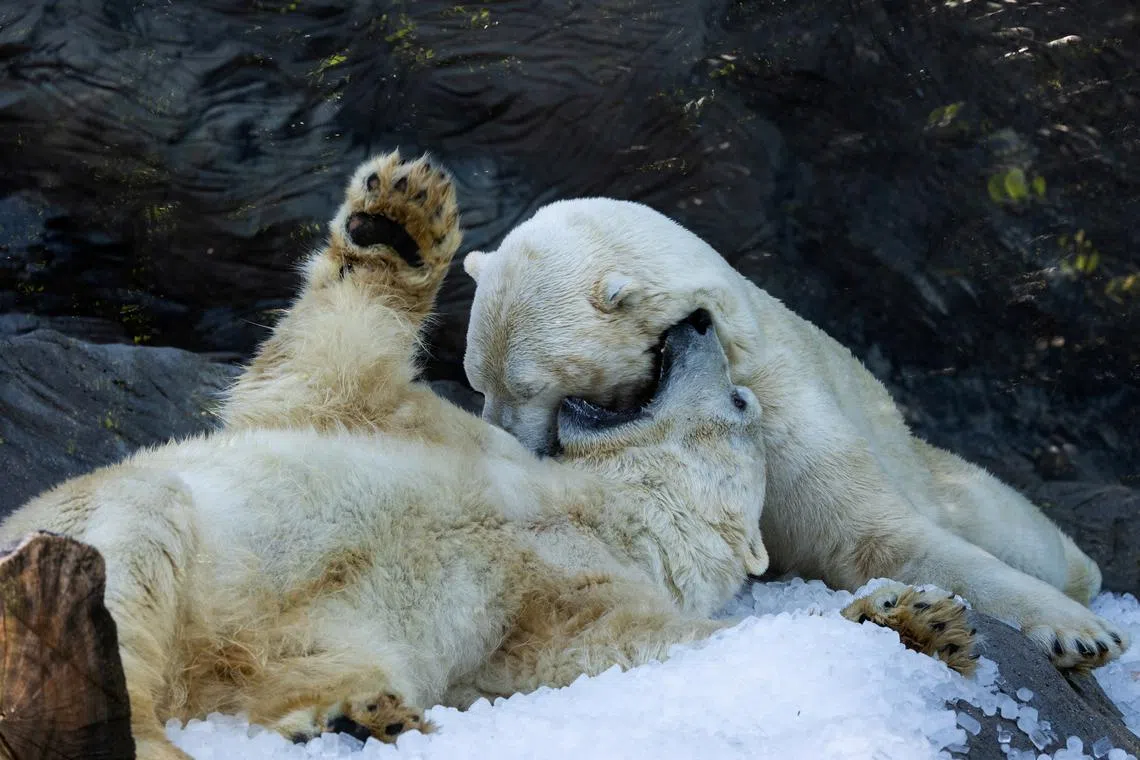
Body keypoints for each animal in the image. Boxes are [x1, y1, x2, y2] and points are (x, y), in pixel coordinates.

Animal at [3, 153, 970, 760]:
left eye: (740, 400)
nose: (697, 326)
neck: (595, 505)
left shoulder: (567, 607)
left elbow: (639, 656)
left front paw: (917, 623)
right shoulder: (447, 436)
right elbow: (322, 379)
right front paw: (398, 216)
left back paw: (354, 715)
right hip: (102, 517)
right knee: (138, 551)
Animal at [460, 196, 1129, 672]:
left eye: (525, 385)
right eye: (476, 381)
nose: (501, 439)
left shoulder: (782, 408)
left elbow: (877, 537)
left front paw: (1081, 635)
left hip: (924, 466)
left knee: (1015, 531)